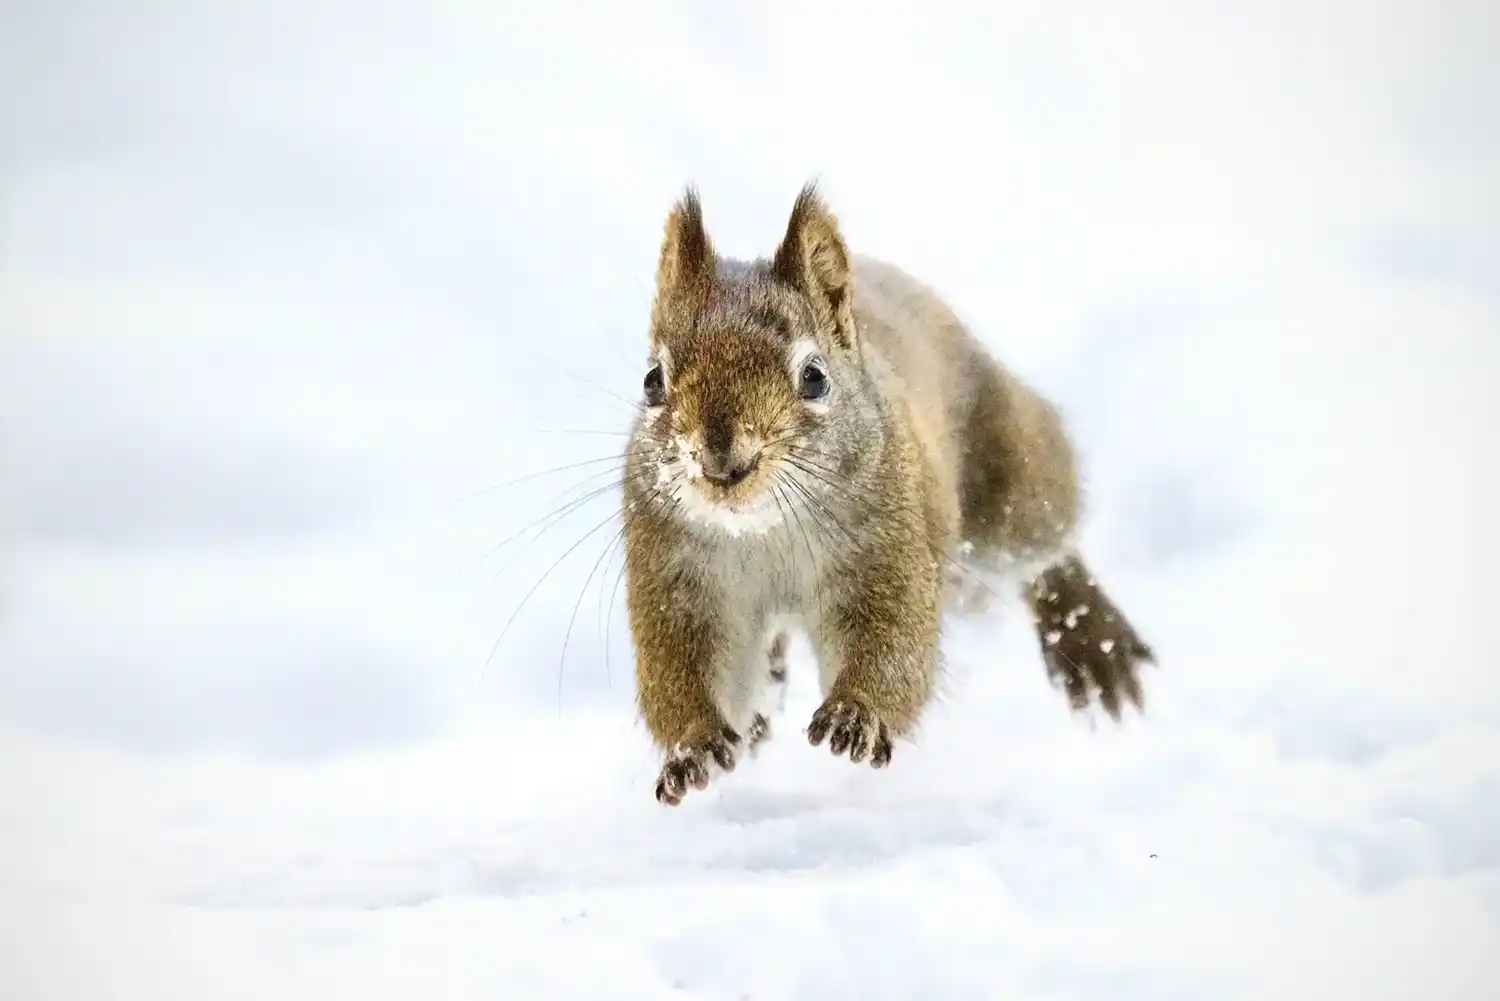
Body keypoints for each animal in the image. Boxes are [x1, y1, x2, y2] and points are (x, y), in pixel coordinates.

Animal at [621, 183, 1155, 806]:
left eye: (814, 377)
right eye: (652, 381)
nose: (722, 462)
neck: (763, 528)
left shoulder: (888, 550)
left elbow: (893, 645)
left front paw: (856, 717)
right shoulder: (678, 582)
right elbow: (680, 672)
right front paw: (694, 747)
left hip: (1005, 489)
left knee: (1045, 547)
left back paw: (1092, 640)